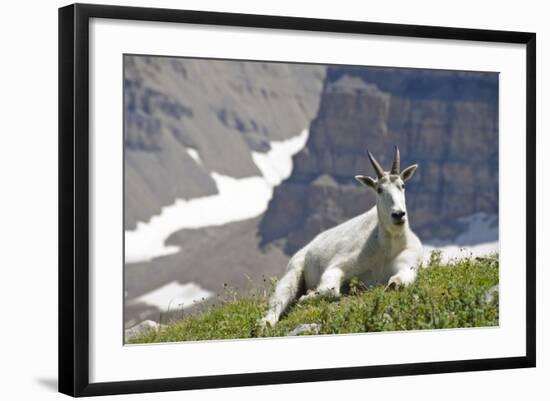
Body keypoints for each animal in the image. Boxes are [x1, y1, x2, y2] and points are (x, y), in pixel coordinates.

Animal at [262, 145, 422, 326]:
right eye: (379, 189)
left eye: (402, 185)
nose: (398, 214)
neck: (388, 246)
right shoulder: (339, 265)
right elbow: (330, 290)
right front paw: (306, 297)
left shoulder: (408, 263)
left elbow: (399, 282)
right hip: (294, 270)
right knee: (279, 299)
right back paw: (265, 323)